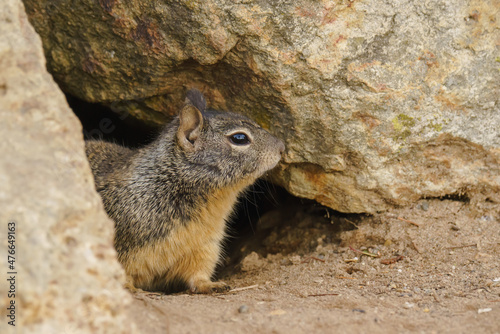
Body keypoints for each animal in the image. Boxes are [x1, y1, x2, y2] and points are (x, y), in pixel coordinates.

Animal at [86, 88, 286, 292]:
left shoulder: (205, 247)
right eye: (239, 138)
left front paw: (211, 285)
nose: (282, 147)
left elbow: (198, 274)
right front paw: (127, 287)